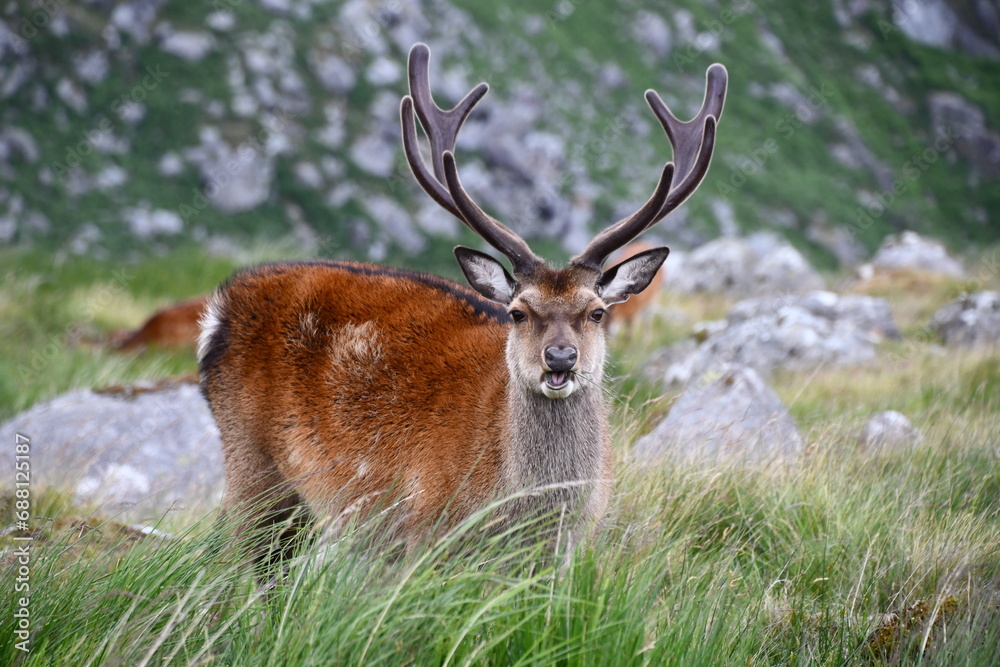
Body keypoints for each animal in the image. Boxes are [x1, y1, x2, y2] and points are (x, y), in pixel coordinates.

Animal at [199, 43, 726, 559]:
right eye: (518, 313)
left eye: (596, 312)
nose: (560, 358)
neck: (529, 519)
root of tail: (219, 309)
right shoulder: (424, 532)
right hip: (252, 464)